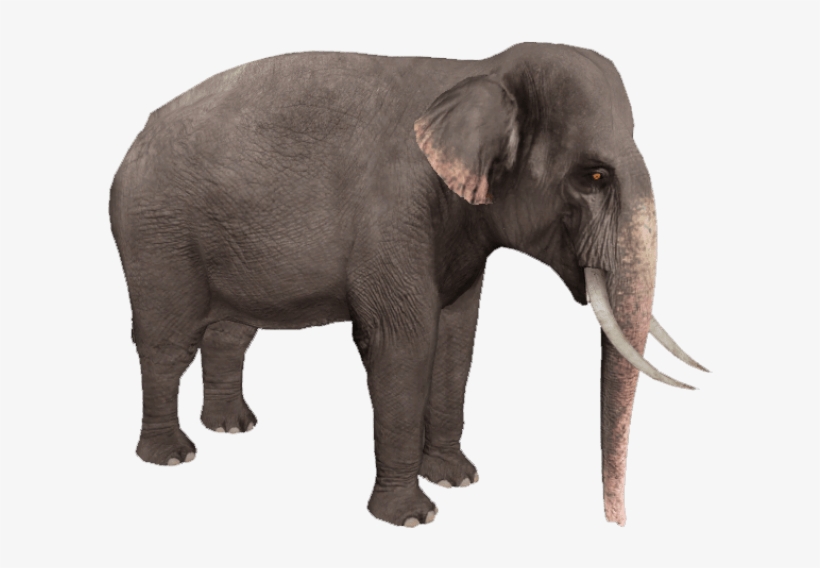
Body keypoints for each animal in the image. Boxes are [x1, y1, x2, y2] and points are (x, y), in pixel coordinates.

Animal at [109, 42, 707, 528]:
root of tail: (135, 140)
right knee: (166, 340)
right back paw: (173, 455)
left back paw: (233, 427)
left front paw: (458, 478)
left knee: (231, 332)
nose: (615, 522)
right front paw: (415, 517)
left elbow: (456, 340)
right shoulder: (394, 211)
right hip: (156, 236)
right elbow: (402, 344)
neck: (478, 70)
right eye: (594, 177)